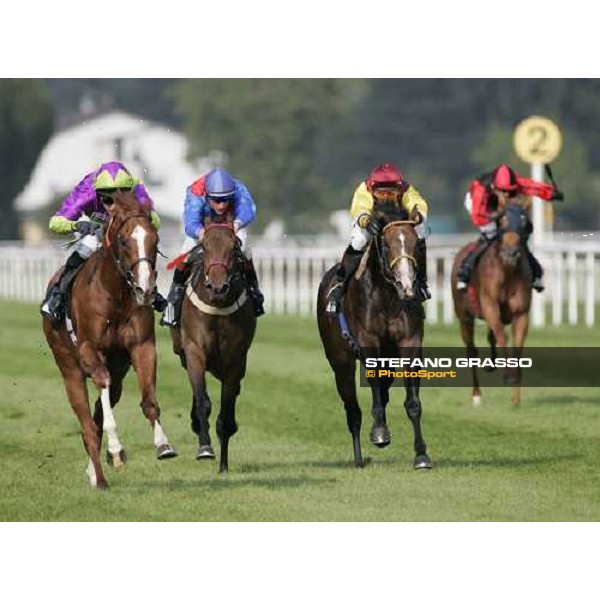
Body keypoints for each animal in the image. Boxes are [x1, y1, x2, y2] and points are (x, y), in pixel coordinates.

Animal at [43, 190, 177, 490]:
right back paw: (100, 478)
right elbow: (101, 386)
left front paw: (163, 444)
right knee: (87, 424)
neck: (114, 296)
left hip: (119, 372)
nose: (145, 288)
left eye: (155, 240)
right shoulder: (88, 351)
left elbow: (148, 400)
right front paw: (116, 450)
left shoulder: (142, 346)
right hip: (69, 370)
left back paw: (94, 471)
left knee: (97, 415)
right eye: (125, 241)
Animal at [169, 216, 255, 474]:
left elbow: (226, 408)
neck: (217, 306)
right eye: (205, 247)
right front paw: (205, 447)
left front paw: (224, 464)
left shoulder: (235, 360)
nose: (218, 287)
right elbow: (203, 401)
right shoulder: (194, 351)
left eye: (234, 247)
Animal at [316, 204, 434, 472]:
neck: (387, 297)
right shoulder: (368, 341)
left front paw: (421, 454)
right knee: (353, 409)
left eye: (417, 245)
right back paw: (359, 458)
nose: (407, 285)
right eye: (387, 245)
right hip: (340, 362)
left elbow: (412, 402)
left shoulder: (410, 342)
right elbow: (374, 392)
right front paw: (380, 432)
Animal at [452, 203, 532, 408]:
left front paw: (516, 397)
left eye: (524, 221)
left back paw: (491, 365)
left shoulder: (521, 313)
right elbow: (503, 337)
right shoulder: (490, 306)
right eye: (501, 220)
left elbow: (517, 344)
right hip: (464, 316)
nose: (511, 253)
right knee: (471, 350)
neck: (507, 271)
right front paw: (509, 376)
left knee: (490, 337)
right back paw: (476, 394)